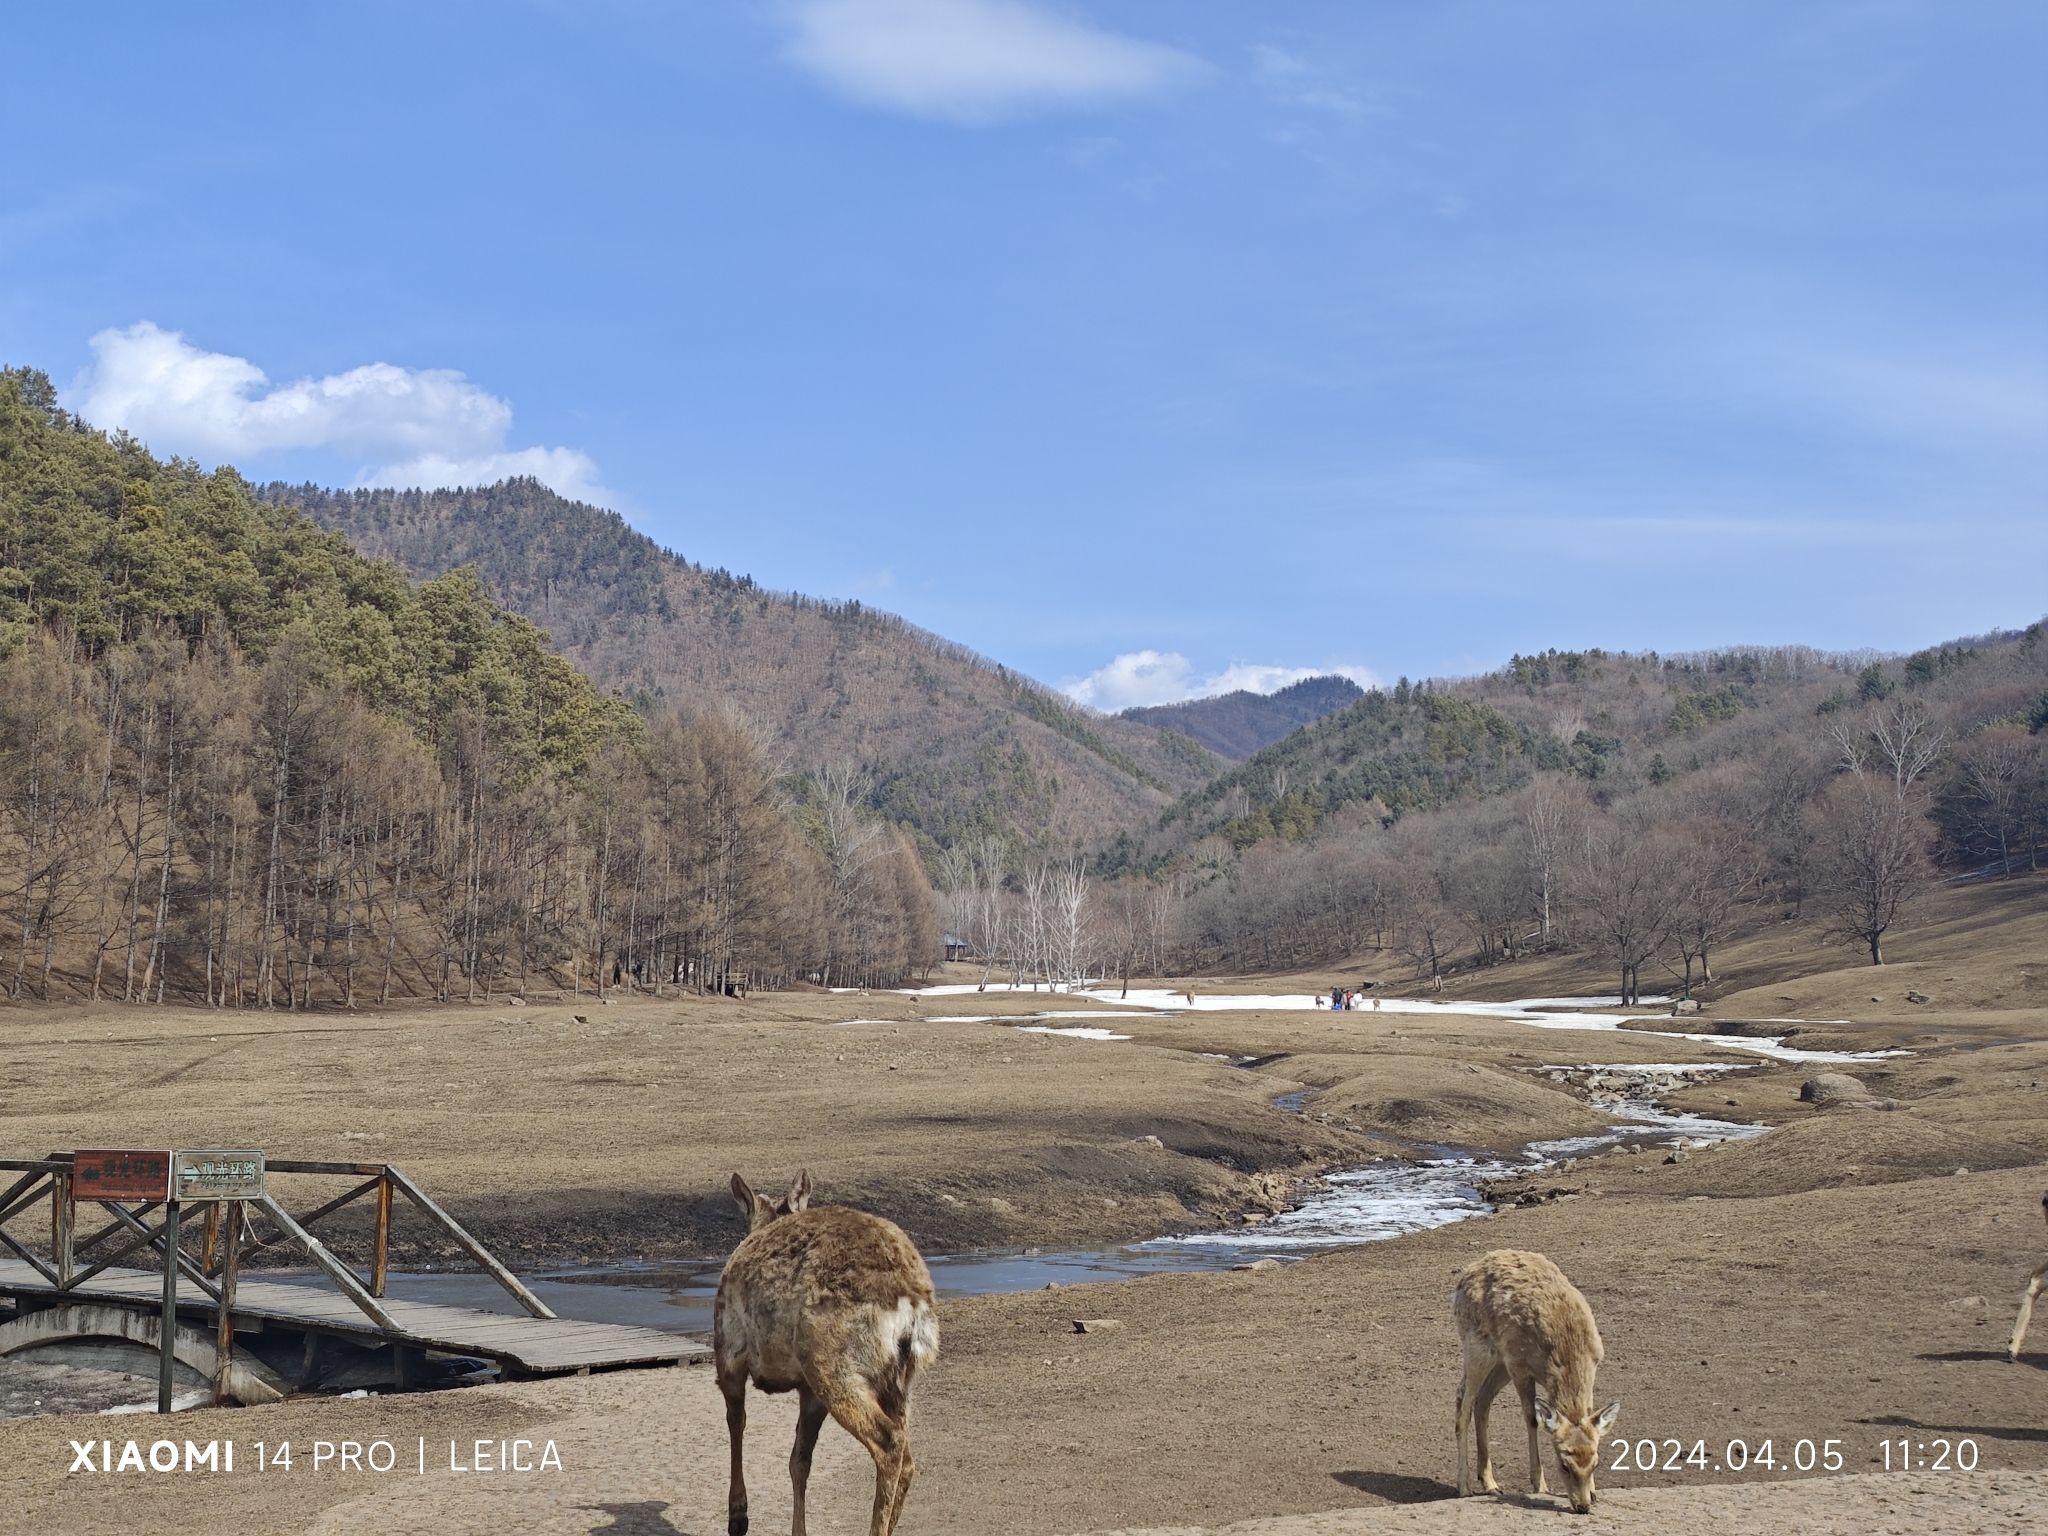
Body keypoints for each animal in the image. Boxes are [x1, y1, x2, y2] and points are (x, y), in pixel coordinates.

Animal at [715, 1171, 940, 1536]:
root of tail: (911, 1303)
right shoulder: (807, 1389)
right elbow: (799, 1460)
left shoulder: (728, 1352)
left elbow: (737, 1421)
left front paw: (738, 1515)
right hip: (898, 1379)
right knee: (906, 1455)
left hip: (830, 1362)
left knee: (889, 1441)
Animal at [1453, 1249, 1620, 1515]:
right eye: (1564, 1464)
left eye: (1595, 1462)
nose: (1582, 1506)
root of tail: (1463, 1278)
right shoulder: (1520, 1367)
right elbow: (1532, 1419)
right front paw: (1540, 1485)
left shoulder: (1593, 1364)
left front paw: (1594, 1491)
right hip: (1477, 1346)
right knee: (1463, 1402)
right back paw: (1464, 1487)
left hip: (1500, 1362)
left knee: (1482, 1401)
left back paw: (1491, 1484)